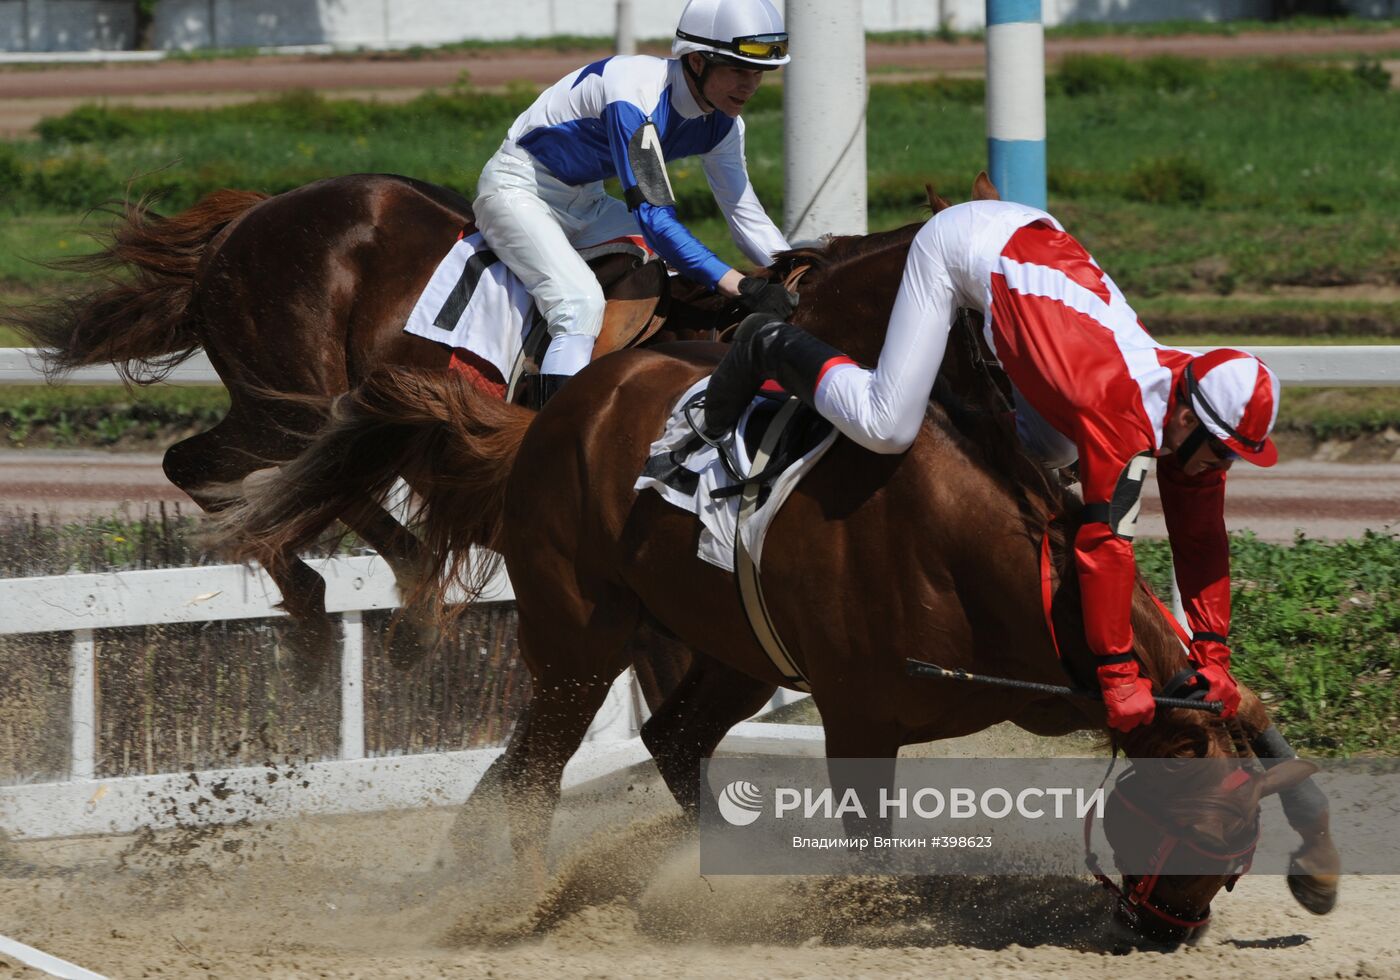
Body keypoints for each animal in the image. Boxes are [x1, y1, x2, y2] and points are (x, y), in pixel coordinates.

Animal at [215, 208, 1332, 952]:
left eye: (1238, 844)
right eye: (1193, 823)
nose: (1167, 927)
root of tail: (550, 414)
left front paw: (1314, 860)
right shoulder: (858, 715)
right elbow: (869, 855)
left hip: (731, 651)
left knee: (669, 737)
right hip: (580, 632)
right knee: (537, 761)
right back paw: (511, 898)